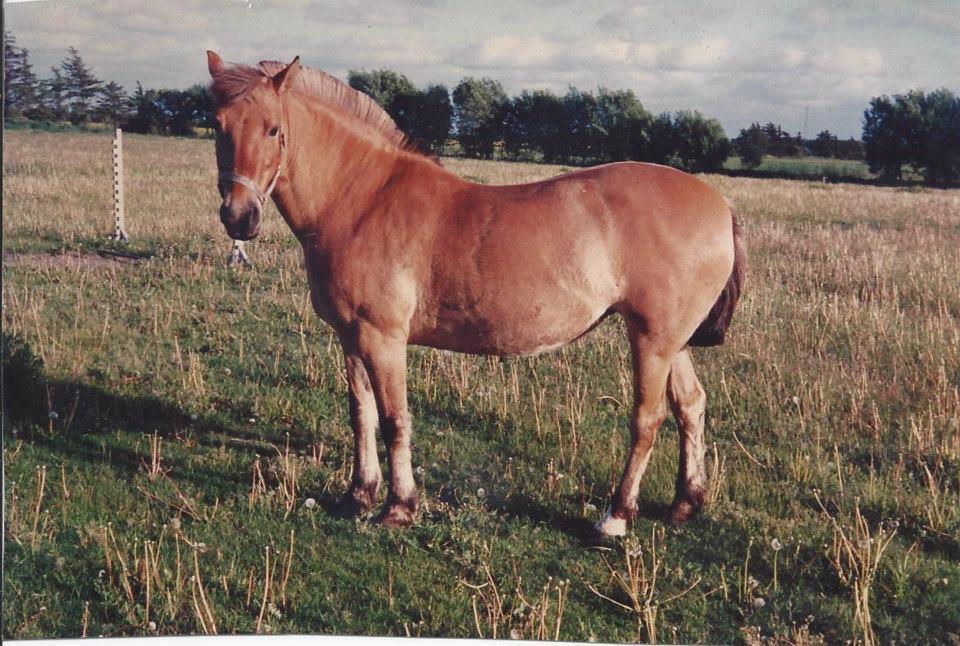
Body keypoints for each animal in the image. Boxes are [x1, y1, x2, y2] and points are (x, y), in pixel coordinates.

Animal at [206, 52, 744, 536]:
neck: (364, 199)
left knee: (648, 419)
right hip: (669, 341)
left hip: (652, 340)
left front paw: (399, 507)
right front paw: (358, 495)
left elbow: (394, 418)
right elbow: (361, 415)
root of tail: (719, 204)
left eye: (274, 129)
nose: (239, 217)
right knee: (691, 406)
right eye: (218, 125)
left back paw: (616, 517)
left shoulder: (383, 338)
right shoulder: (350, 337)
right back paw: (684, 504)